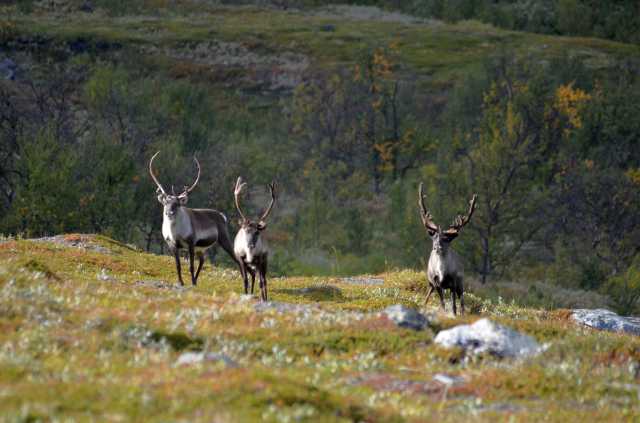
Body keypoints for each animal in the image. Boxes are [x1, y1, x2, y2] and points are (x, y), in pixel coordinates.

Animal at [149, 151, 239, 286]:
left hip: (223, 239)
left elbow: (191, 266)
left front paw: (190, 282)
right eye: (165, 203)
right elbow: (178, 265)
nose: (169, 212)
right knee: (202, 260)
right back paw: (196, 280)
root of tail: (222, 216)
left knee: (236, 259)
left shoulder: (191, 243)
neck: (175, 232)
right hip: (201, 248)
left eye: (177, 204)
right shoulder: (172, 245)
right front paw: (181, 282)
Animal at [418, 182, 477, 315]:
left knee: (462, 301)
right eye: (434, 237)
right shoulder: (436, 283)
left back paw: (462, 313)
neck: (442, 272)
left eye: (446, 239)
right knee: (428, 295)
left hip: (460, 283)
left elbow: (454, 305)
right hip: (431, 283)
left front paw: (454, 314)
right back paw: (423, 304)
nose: (437, 247)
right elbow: (443, 303)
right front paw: (444, 312)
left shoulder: (453, 283)